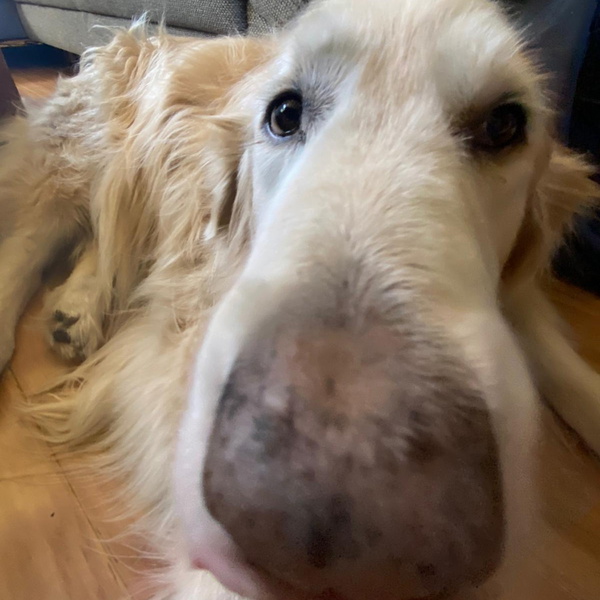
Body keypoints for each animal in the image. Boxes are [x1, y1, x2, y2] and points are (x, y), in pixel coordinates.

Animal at [1, 0, 600, 598]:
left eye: (504, 124)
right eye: (285, 114)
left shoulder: (516, 292)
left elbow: (559, 362)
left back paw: (77, 308)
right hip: (87, 151)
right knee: (43, 232)